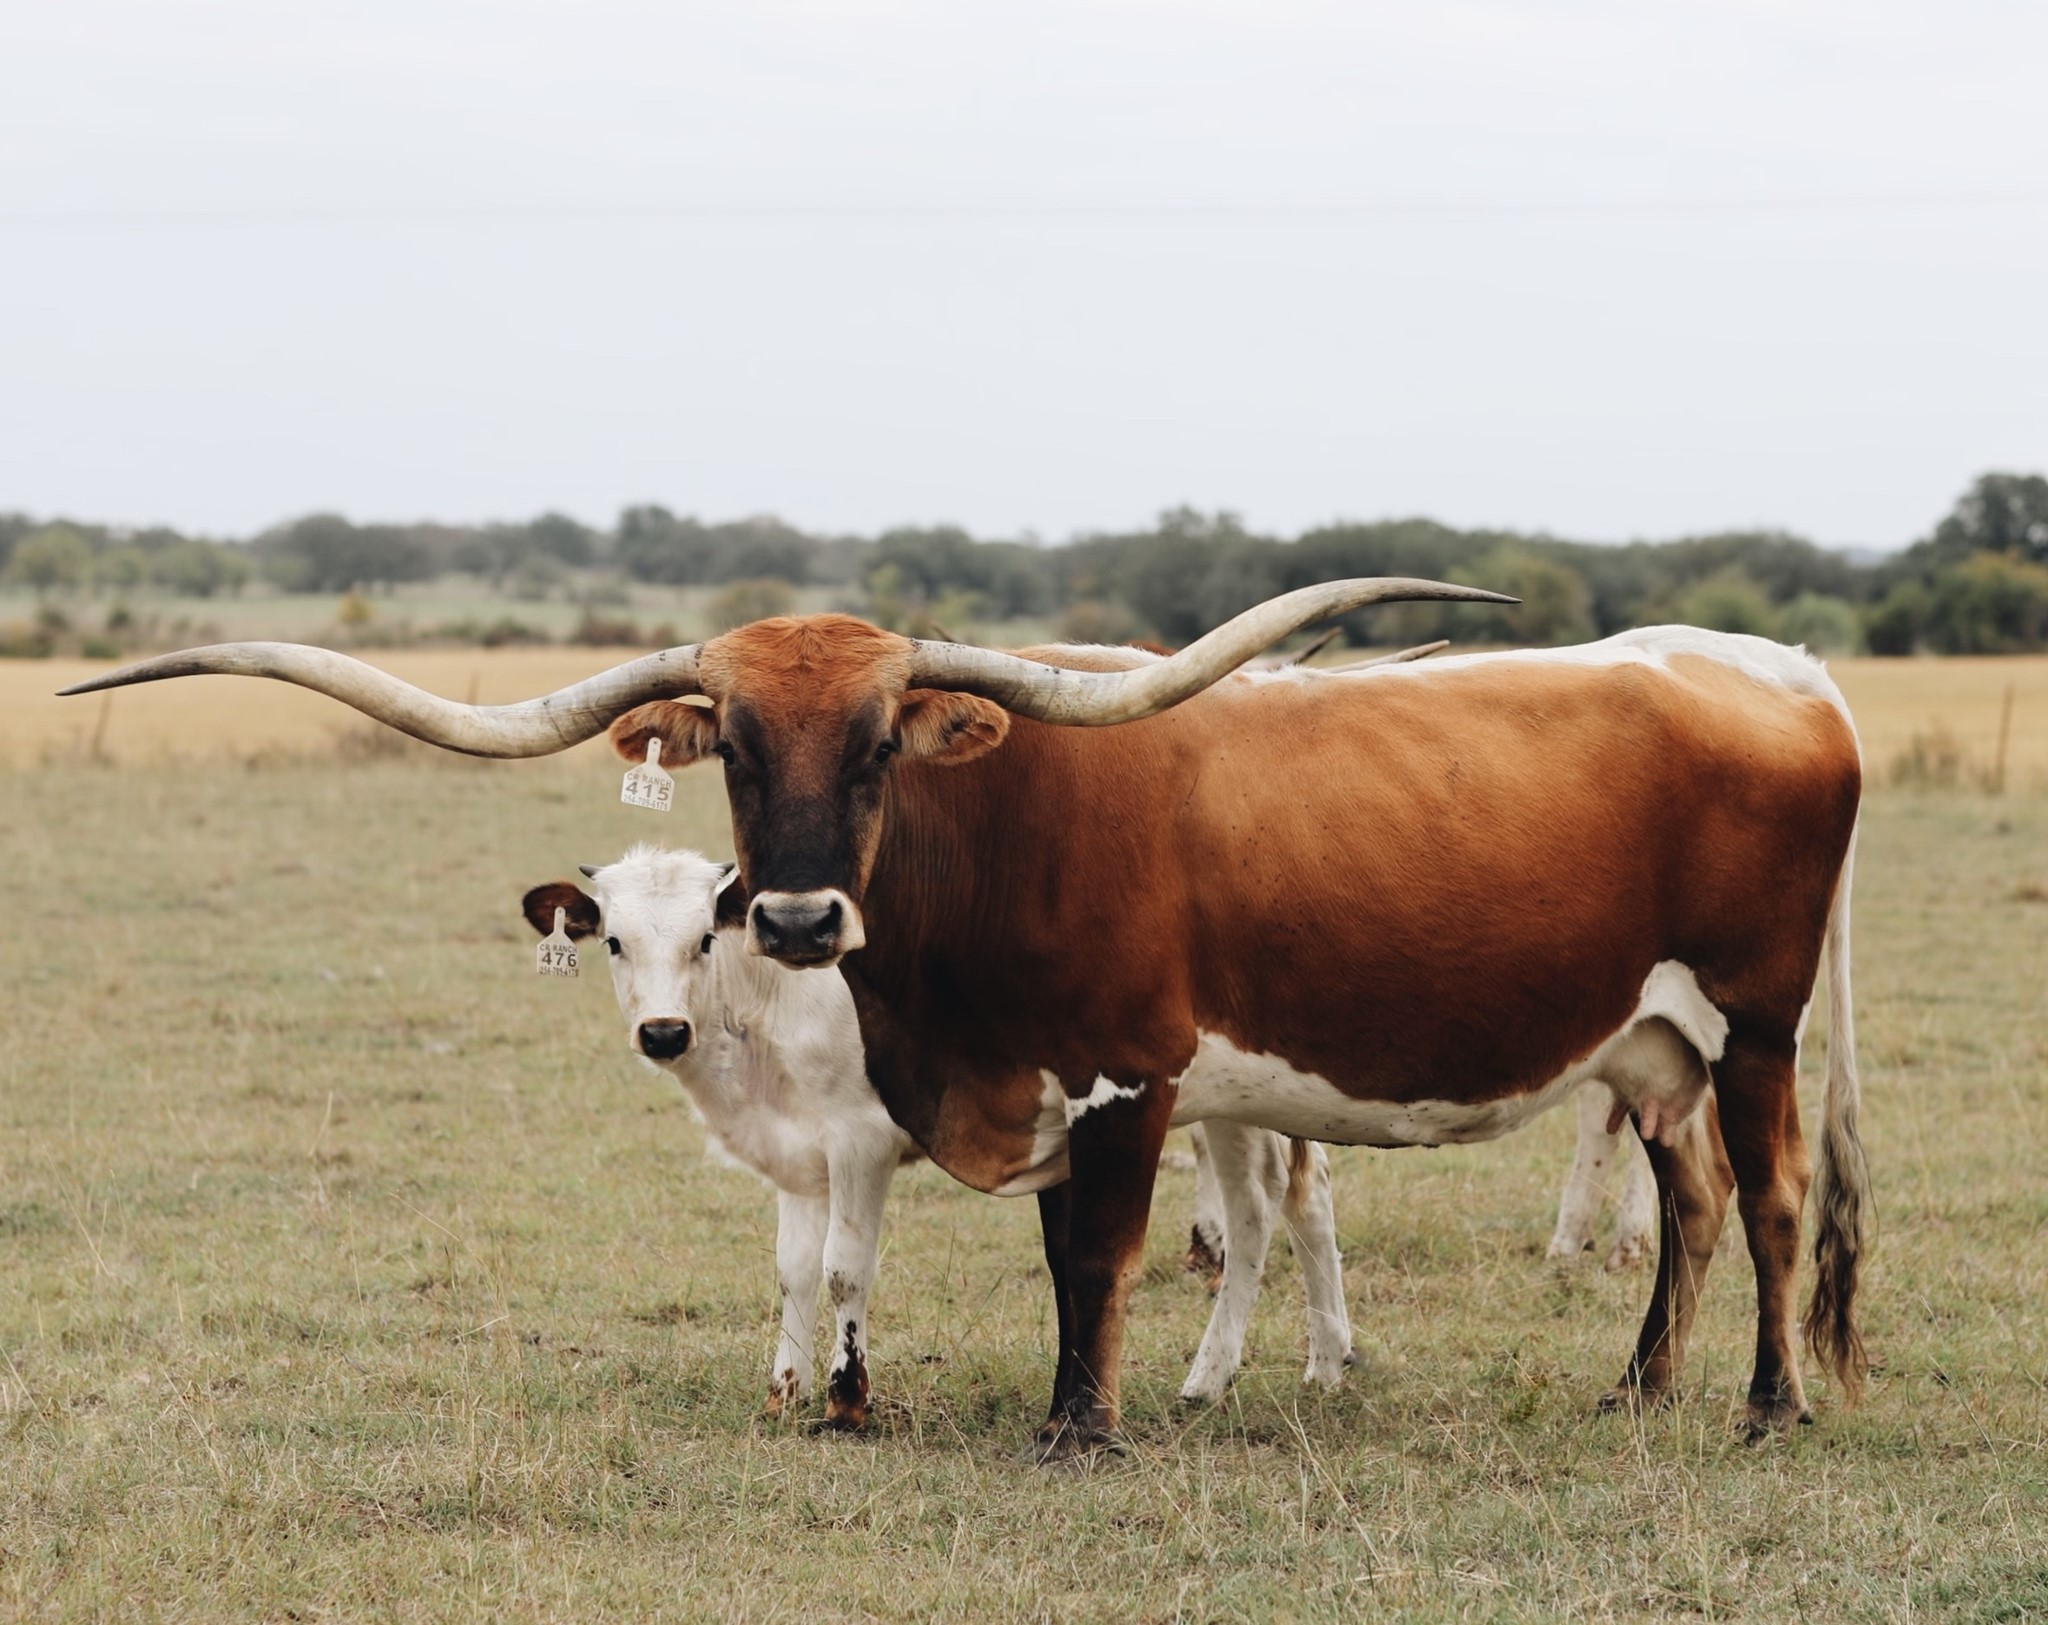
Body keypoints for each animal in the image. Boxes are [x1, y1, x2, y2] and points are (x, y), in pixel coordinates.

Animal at [523, 844, 1353, 1429]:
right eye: (614, 942)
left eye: (702, 939)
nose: (663, 1031)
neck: (773, 1003)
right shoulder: (797, 1155)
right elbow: (792, 1269)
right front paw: (784, 1390)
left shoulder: (860, 1144)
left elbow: (843, 1270)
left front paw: (846, 1400)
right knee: (1302, 1197)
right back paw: (1325, 1360)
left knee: (1257, 1209)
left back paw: (1213, 1374)